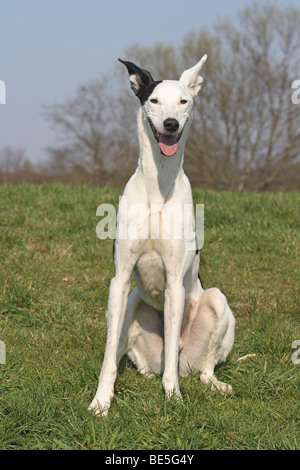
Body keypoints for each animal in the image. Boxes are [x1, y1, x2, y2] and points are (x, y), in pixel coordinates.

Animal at [89, 56, 234, 414]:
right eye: (153, 100)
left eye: (184, 101)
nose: (170, 124)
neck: (159, 184)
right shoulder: (119, 279)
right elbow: (108, 358)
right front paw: (101, 401)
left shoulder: (174, 283)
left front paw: (174, 397)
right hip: (130, 304)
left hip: (216, 302)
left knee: (200, 367)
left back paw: (213, 383)